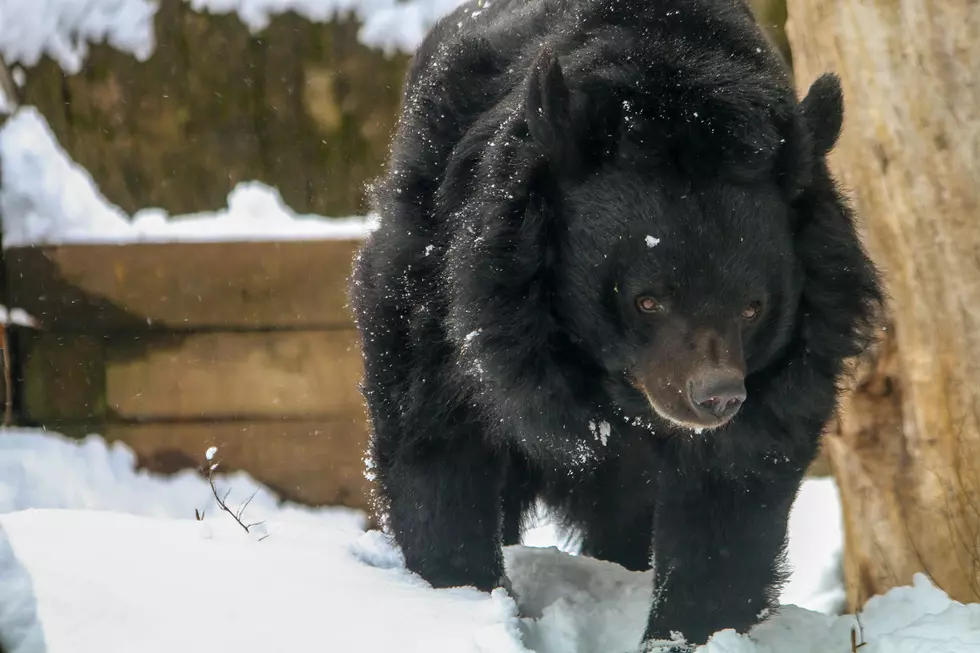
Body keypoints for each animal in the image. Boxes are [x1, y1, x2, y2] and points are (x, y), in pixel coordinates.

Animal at [350, 0, 880, 648]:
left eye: (753, 308)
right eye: (647, 302)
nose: (716, 399)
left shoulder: (800, 352)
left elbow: (729, 493)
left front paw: (685, 631)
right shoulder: (441, 279)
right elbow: (436, 444)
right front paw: (460, 596)